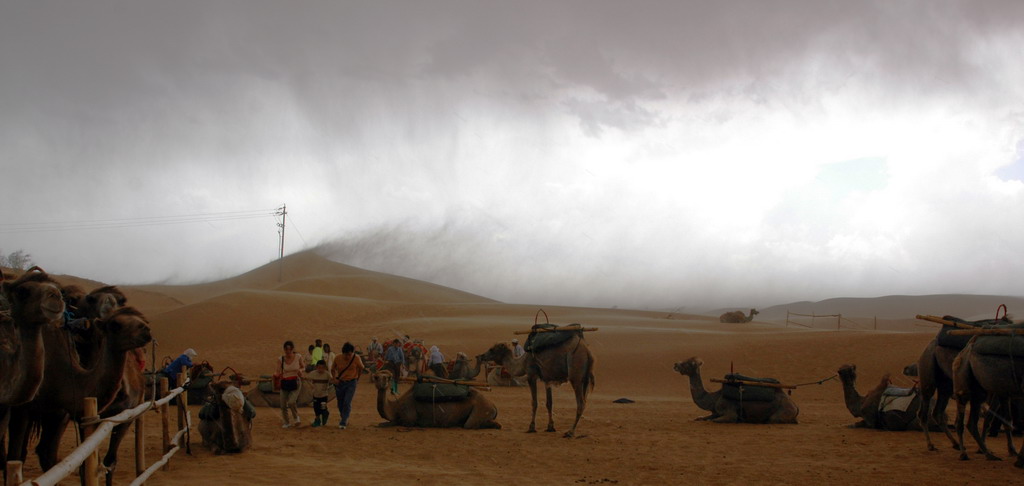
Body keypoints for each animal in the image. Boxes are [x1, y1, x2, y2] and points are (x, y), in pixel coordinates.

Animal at [6, 308, 153, 472]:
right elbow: (15, 456)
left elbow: (50, 457)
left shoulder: (61, 413)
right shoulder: (22, 408)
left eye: (144, 321)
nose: (146, 330)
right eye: (115, 325)